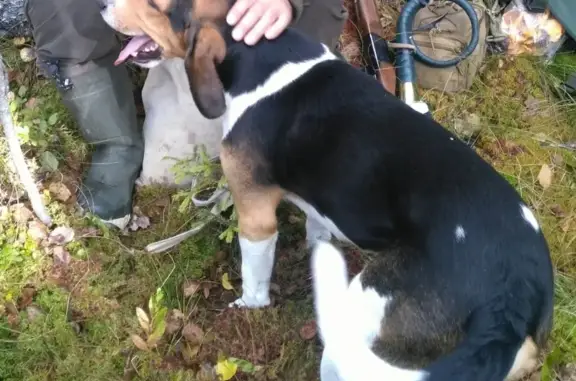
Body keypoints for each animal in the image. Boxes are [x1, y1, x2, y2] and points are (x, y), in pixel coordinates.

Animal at [100, 0, 552, 378]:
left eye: (157, 6)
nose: (102, 5)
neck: (264, 56)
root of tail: (509, 302)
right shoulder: (319, 207)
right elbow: (317, 233)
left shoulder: (256, 216)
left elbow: (254, 280)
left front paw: (247, 305)